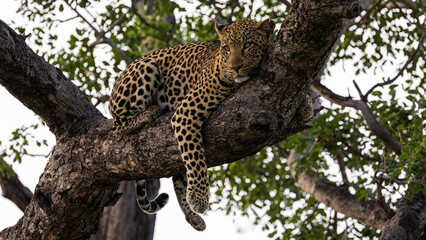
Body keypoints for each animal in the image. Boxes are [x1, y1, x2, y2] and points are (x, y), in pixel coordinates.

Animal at [109, 18, 276, 231]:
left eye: (248, 45)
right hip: (146, 68)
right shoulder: (185, 111)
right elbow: (195, 157)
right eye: (227, 48)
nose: (235, 67)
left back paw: (192, 217)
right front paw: (200, 198)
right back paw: (149, 113)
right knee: (117, 126)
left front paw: (195, 202)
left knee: (177, 178)